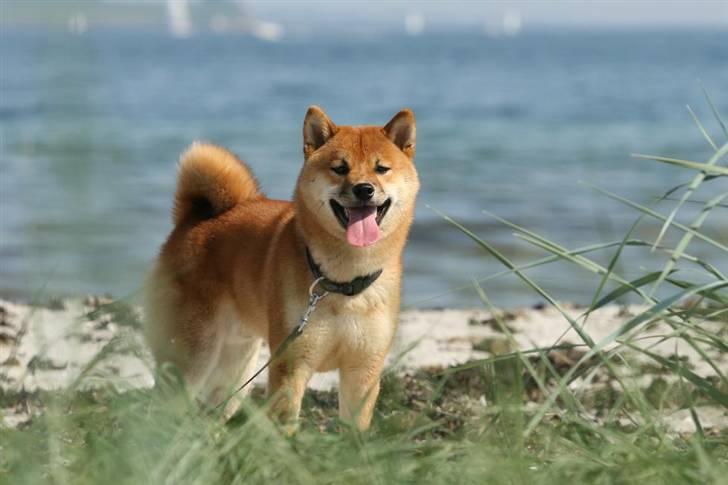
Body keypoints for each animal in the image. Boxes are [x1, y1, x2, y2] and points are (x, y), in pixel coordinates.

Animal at [145, 108, 418, 430]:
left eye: (382, 168)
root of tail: (194, 220)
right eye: (340, 168)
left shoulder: (362, 370)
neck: (340, 282)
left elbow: (355, 430)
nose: (364, 189)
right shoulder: (291, 367)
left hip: (235, 367)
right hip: (192, 358)